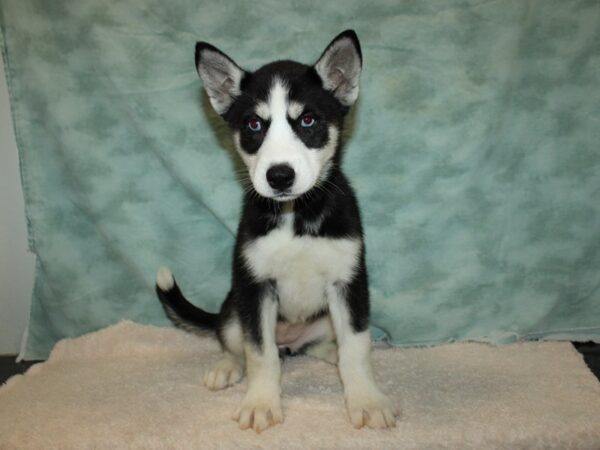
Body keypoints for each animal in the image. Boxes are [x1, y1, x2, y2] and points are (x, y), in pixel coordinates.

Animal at [157, 30, 396, 432]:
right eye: (254, 125)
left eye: (309, 120)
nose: (279, 176)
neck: (295, 216)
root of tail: (290, 340)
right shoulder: (255, 287)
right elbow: (259, 353)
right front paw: (260, 402)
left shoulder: (349, 284)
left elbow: (357, 348)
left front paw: (366, 399)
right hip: (234, 310)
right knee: (237, 344)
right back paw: (227, 366)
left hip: (323, 318)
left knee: (319, 345)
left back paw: (329, 352)